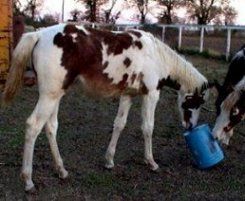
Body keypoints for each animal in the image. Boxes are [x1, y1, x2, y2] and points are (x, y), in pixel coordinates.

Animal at [2, 23, 209, 192]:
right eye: (195, 103)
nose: (190, 127)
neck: (157, 56)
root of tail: (38, 34)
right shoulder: (151, 94)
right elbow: (148, 128)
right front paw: (151, 162)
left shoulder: (128, 95)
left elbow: (119, 124)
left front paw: (109, 160)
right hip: (49, 96)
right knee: (33, 126)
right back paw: (28, 181)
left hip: (54, 95)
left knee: (51, 127)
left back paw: (62, 171)